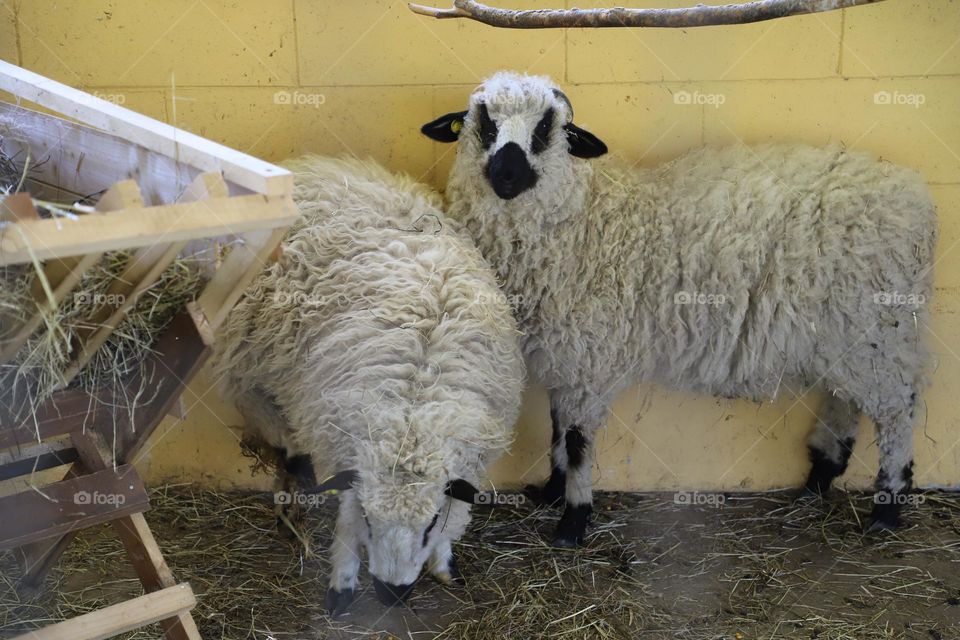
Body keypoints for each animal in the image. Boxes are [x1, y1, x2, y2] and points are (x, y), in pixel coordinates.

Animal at [211, 155, 525, 614]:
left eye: (430, 523)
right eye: (370, 520)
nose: (392, 595)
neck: (414, 410)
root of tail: (311, 168)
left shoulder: (469, 456)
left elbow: (457, 512)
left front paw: (444, 563)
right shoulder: (345, 442)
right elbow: (344, 515)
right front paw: (341, 581)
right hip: (247, 357)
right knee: (266, 418)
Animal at [421, 71, 938, 548]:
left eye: (547, 127)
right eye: (484, 122)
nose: (506, 175)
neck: (585, 221)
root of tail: (920, 200)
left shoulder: (591, 359)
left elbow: (577, 440)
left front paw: (573, 519)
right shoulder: (567, 356)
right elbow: (556, 428)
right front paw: (552, 490)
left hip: (882, 331)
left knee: (897, 411)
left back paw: (887, 507)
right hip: (847, 337)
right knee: (847, 399)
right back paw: (819, 477)